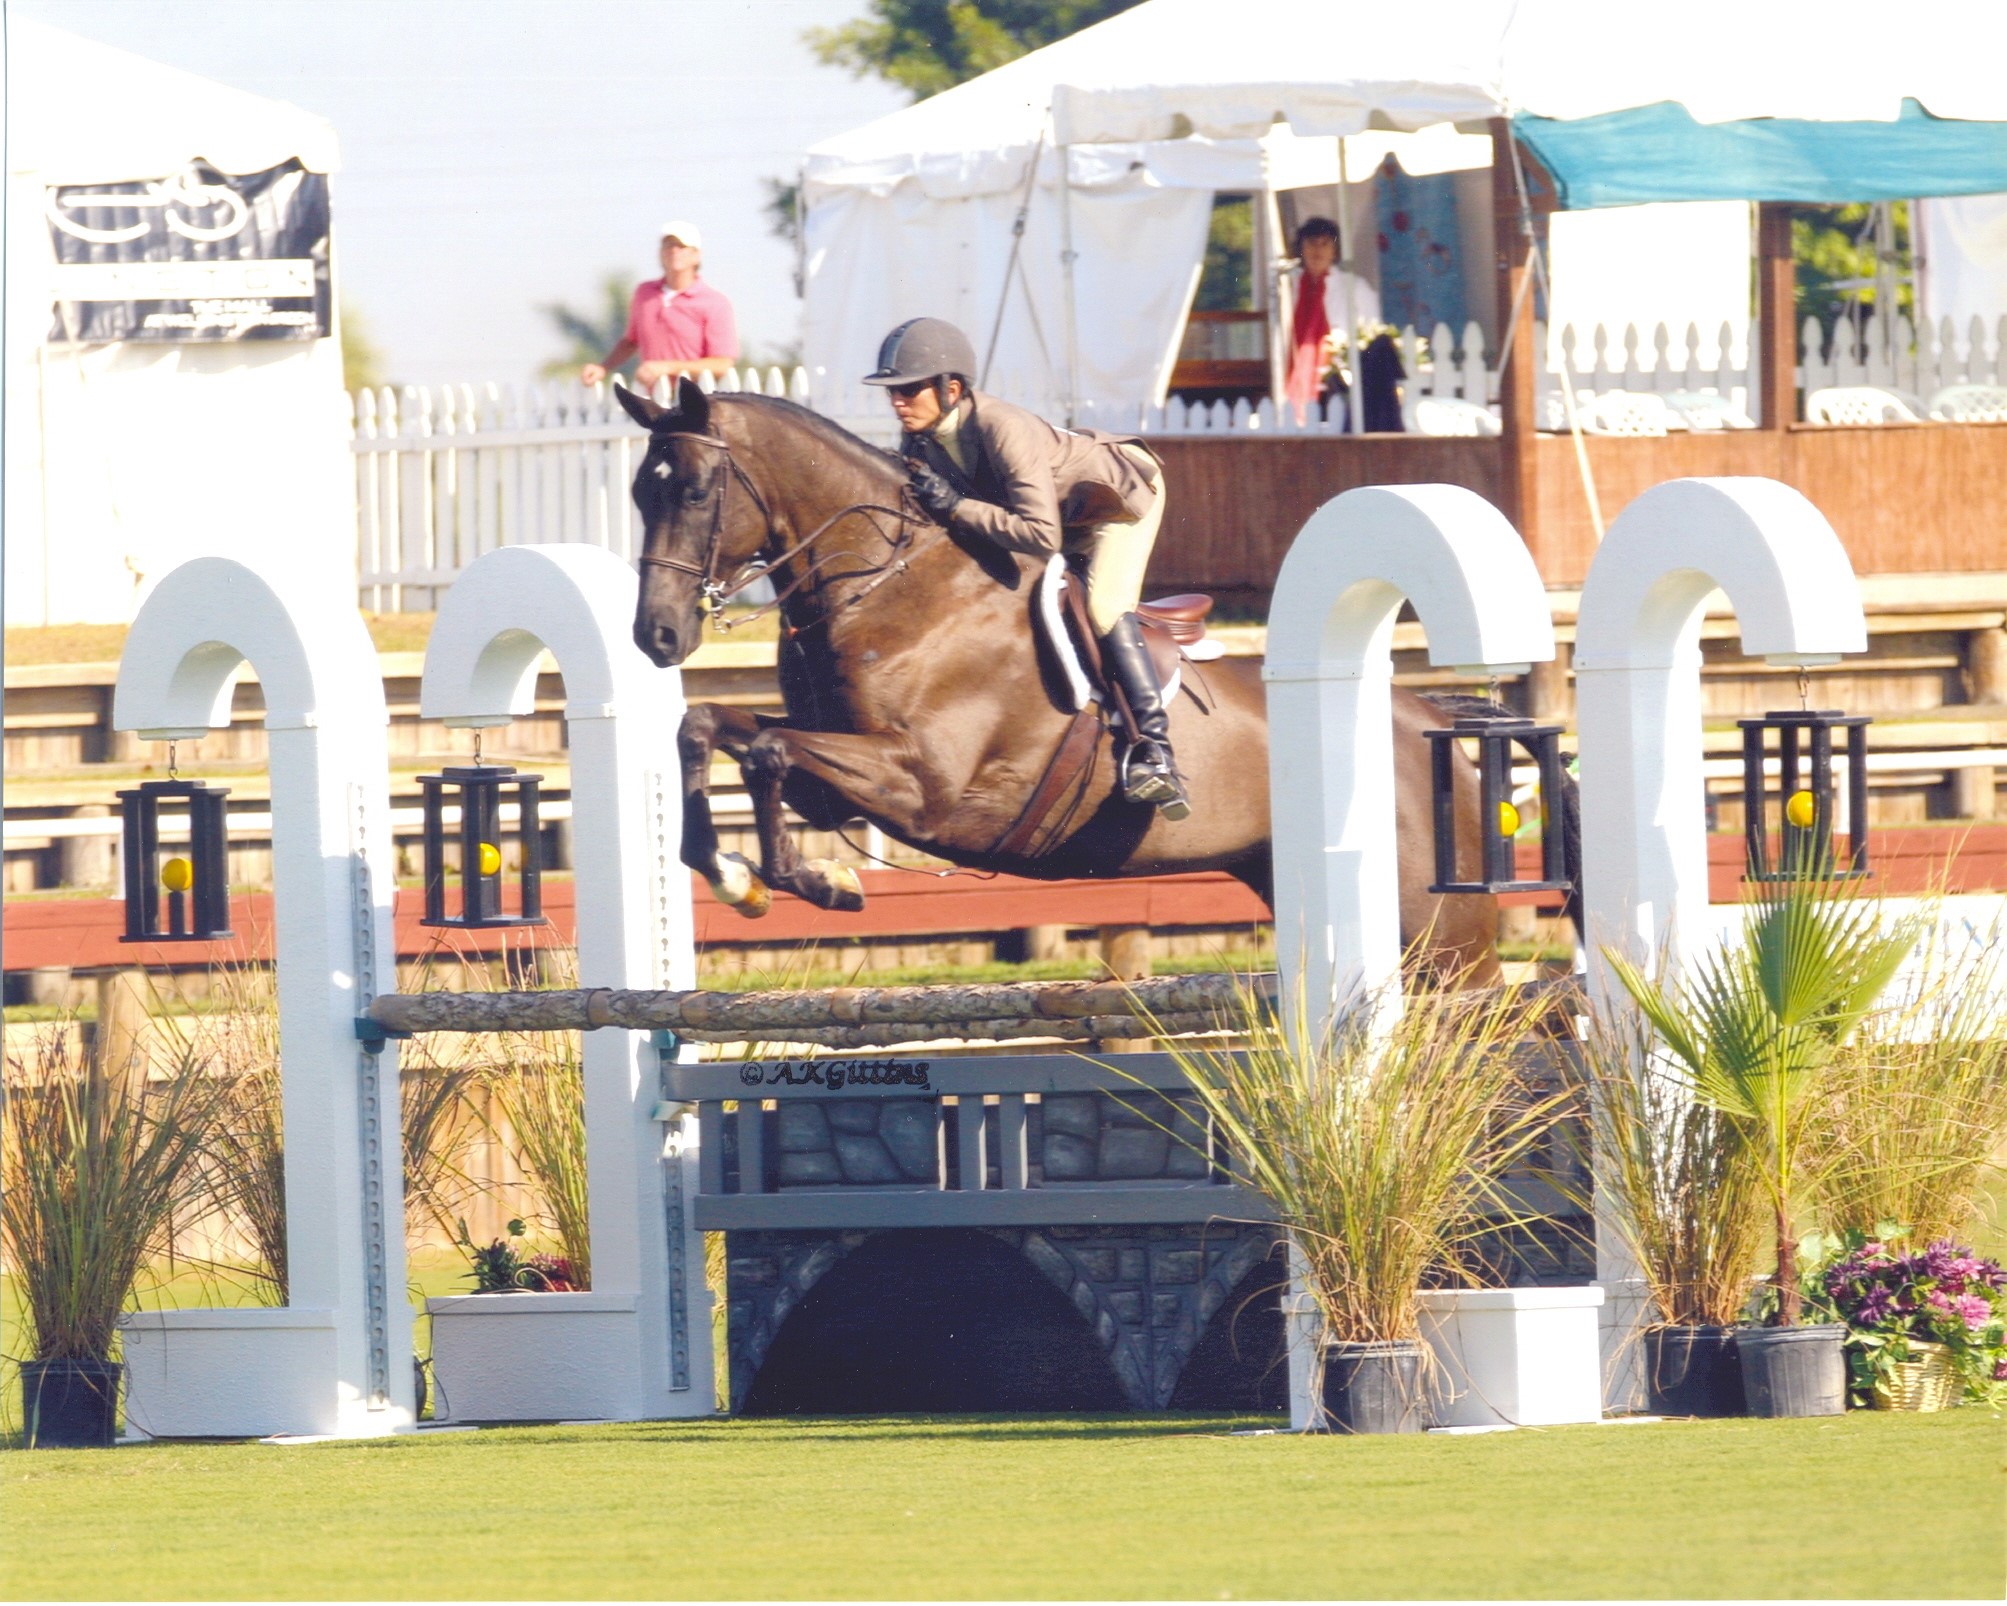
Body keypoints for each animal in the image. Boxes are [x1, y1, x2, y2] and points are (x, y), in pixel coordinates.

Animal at [618, 379, 1509, 979]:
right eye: (636, 494)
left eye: (694, 491)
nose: (655, 635)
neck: (888, 584)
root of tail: (1427, 718)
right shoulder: (837, 776)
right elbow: (716, 730)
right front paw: (746, 878)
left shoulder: (921, 786)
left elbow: (768, 753)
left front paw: (810, 881)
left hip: (1440, 937)